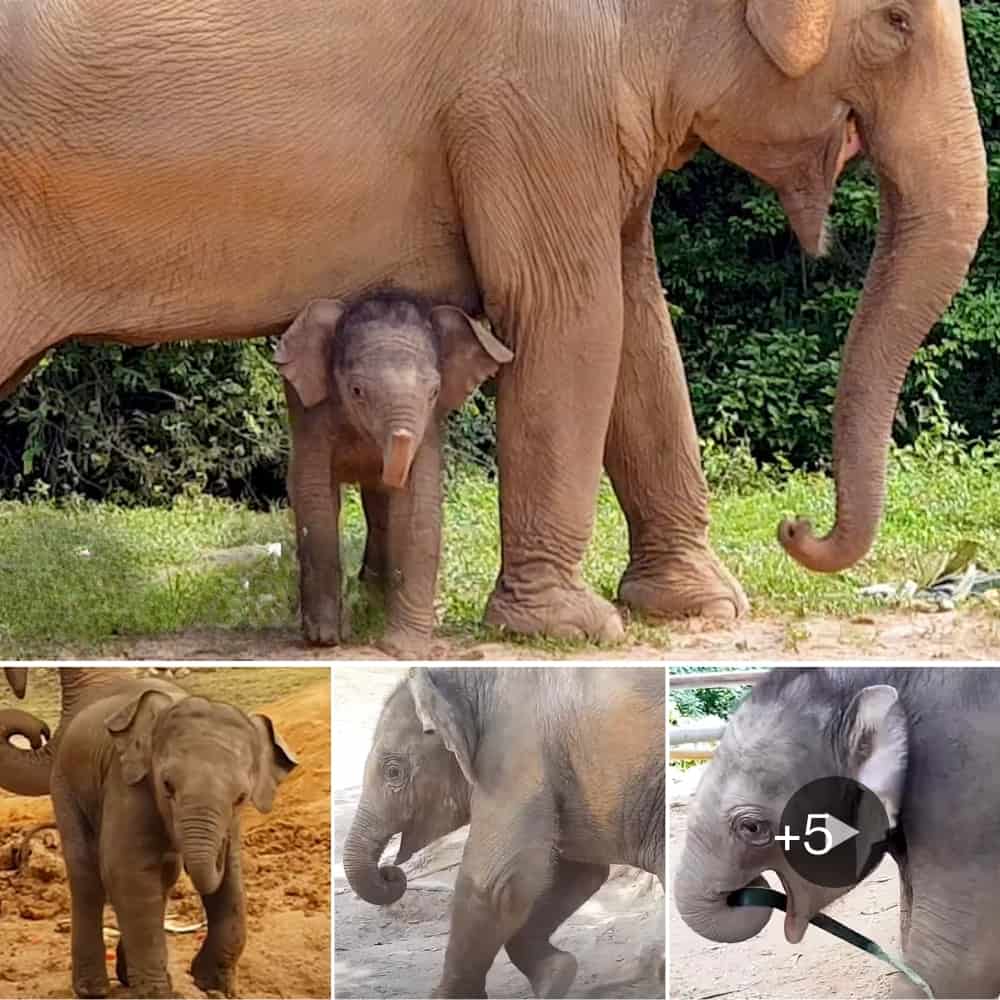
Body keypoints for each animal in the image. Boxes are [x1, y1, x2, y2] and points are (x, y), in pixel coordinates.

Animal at [48, 676, 297, 999]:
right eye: (167, 785)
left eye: (241, 798)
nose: (219, 849)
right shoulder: (127, 782)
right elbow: (127, 871)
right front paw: (158, 994)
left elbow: (231, 882)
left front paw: (213, 986)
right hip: (64, 785)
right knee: (86, 875)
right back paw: (94, 989)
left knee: (164, 878)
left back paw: (127, 977)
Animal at [275, 291, 513, 655]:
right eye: (356, 391)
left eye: (434, 392)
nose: (397, 441)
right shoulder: (311, 412)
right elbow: (314, 497)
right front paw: (324, 639)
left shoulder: (428, 425)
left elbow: (418, 506)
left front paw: (403, 648)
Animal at [343, 666, 665, 999]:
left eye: (393, 772)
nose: (389, 872)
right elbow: (574, 873)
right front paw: (555, 978)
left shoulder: (513, 755)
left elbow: (495, 881)